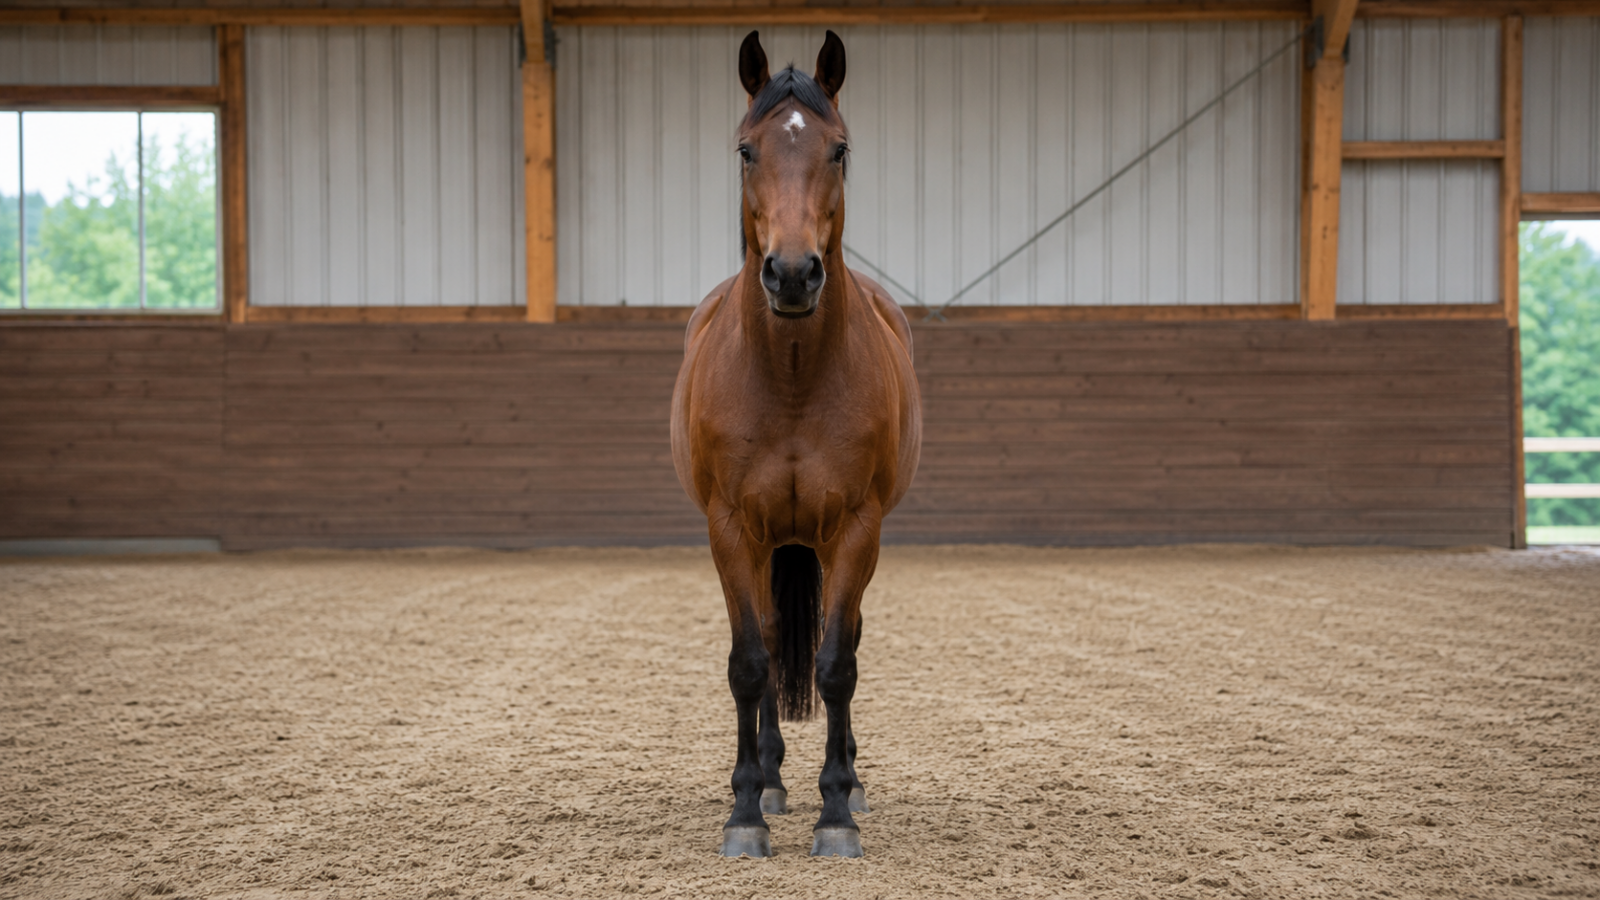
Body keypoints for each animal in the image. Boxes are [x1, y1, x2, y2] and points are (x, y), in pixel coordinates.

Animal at [670, 30, 922, 859]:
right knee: (776, 641)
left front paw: (837, 810)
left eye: (838, 149)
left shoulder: (856, 529)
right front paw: (746, 810)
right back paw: (773, 781)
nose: (790, 273)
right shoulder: (729, 527)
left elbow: (837, 663)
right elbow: (751, 664)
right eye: (746, 150)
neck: (790, 381)